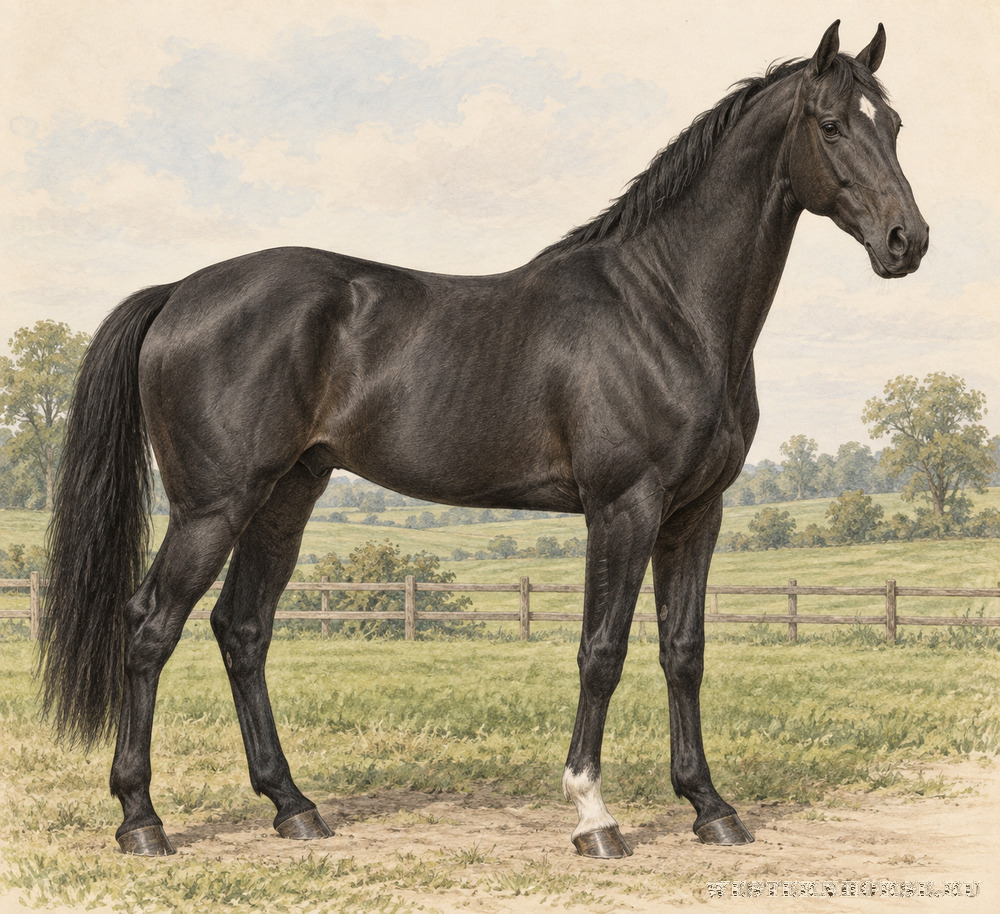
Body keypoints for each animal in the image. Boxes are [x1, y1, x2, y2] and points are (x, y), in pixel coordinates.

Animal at [38, 21, 927, 858]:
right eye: (831, 125)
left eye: (893, 124)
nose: (906, 241)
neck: (665, 308)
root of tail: (179, 292)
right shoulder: (623, 508)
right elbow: (601, 651)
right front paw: (594, 816)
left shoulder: (694, 513)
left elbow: (684, 652)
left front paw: (710, 807)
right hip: (212, 507)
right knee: (151, 626)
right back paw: (142, 819)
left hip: (286, 495)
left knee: (242, 629)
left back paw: (293, 807)